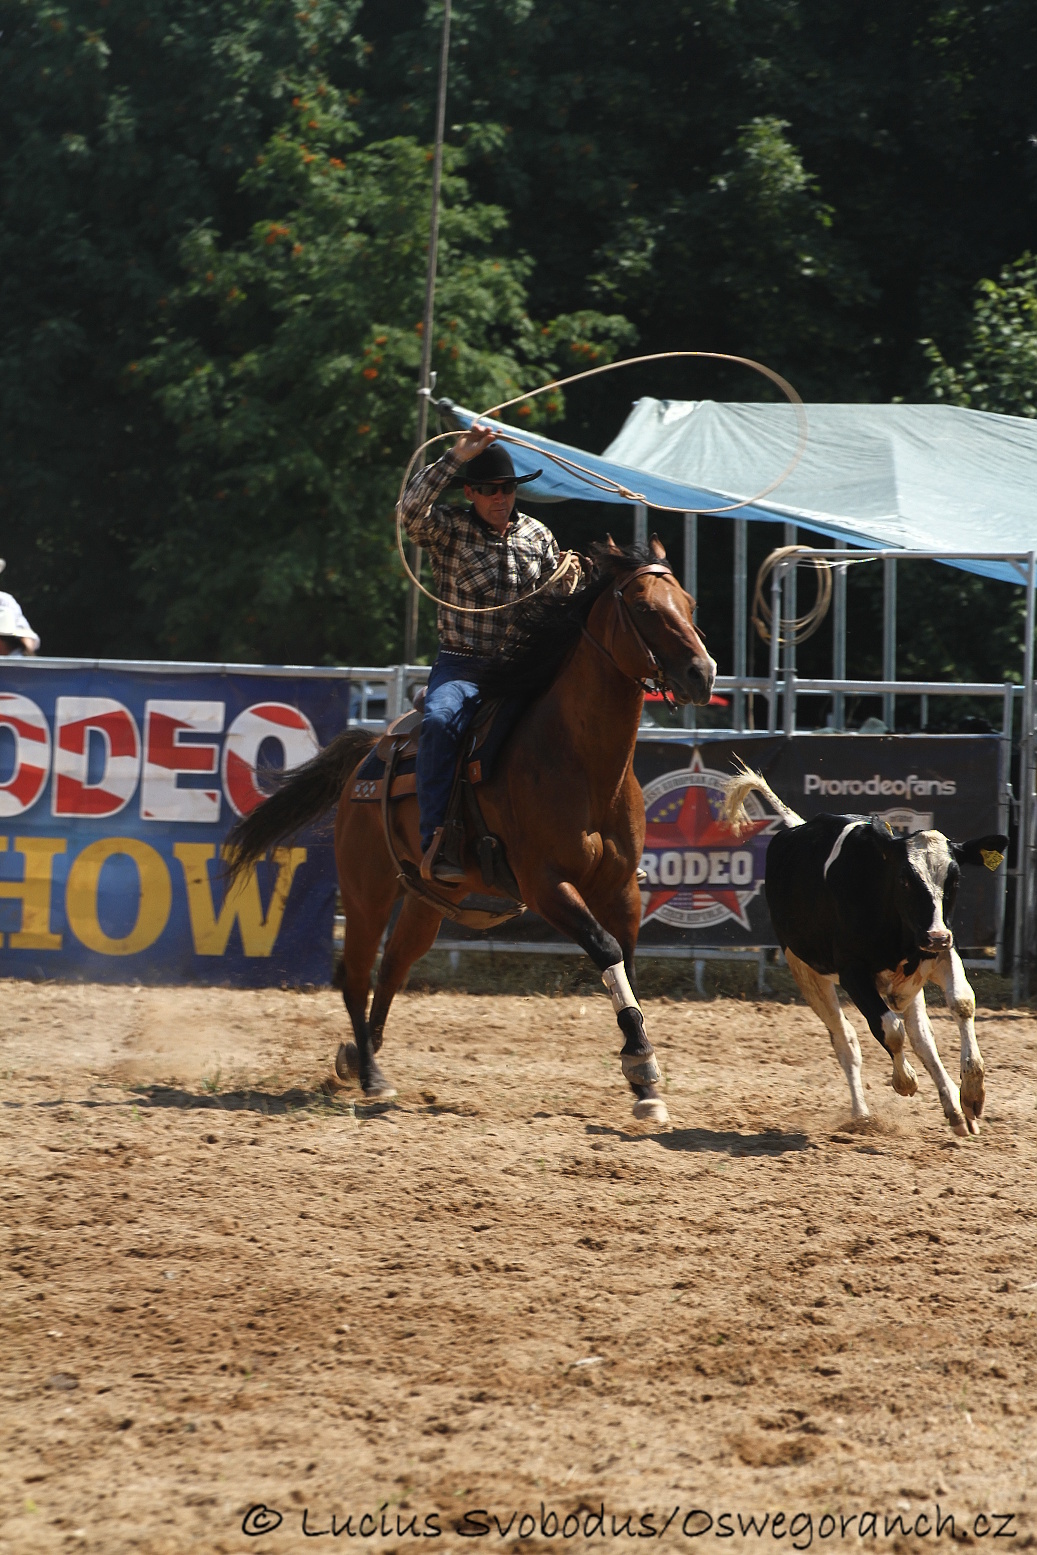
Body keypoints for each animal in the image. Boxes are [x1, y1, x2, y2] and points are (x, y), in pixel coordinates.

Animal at [225, 534, 715, 1119]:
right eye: (643, 607)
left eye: (689, 604)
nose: (703, 672)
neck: (579, 759)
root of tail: (371, 750)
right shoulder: (545, 884)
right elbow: (605, 948)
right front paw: (641, 1065)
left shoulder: (621, 888)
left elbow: (629, 964)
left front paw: (645, 1087)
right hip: (367, 891)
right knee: (357, 973)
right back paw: (370, 1076)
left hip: (426, 900)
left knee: (393, 966)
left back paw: (357, 1056)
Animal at [721, 771, 1007, 1138]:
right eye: (904, 879)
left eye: (954, 879)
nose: (937, 936)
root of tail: (796, 826)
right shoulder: (852, 973)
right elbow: (888, 1028)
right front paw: (904, 1081)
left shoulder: (939, 956)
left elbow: (961, 1002)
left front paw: (972, 1094)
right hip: (805, 970)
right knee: (847, 1040)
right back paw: (861, 1115)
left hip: (907, 981)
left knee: (922, 1039)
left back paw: (957, 1113)